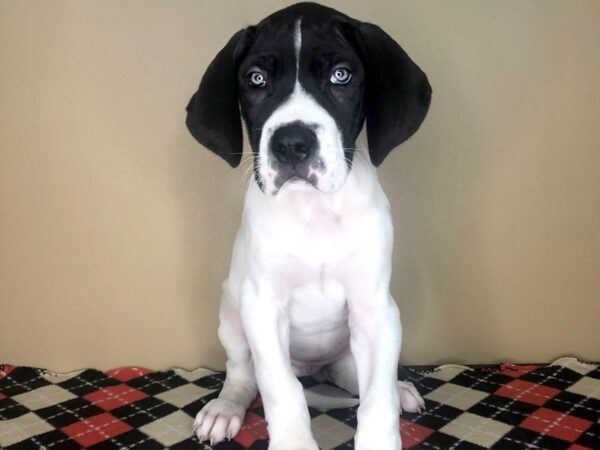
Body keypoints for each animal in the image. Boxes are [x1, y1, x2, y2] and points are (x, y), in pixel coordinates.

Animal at [188, 3, 432, 450]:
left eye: (341, 75)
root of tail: (311, 366)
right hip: (232, 315)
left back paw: (398, 387)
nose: (292, 144)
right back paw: (224, 409)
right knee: (244, 375)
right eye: (256, 78)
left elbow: (377, 400)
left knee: (356, 374)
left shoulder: (374, 308)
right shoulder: (263, 306)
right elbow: (281, 390)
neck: (314, 211)